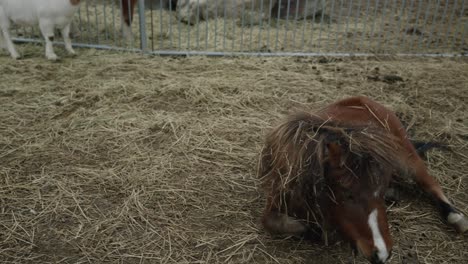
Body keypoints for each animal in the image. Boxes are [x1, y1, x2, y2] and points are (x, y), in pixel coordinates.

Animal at [260, 96, 468, 262]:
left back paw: (456, 216)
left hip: (406, 156)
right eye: (347, 195)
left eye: (379, 193)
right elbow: (274, 223)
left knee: (430, 183)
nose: (382, 254)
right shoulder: (275, 198)